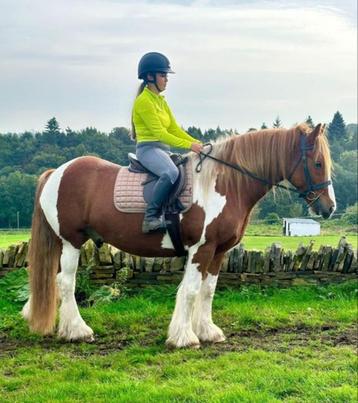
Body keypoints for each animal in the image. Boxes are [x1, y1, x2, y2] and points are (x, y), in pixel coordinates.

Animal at [21, 123, 336, 350]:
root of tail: (57, 172)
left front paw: (207, 331)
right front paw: (184, 337)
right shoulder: (201, 249)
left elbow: (208, 291)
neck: (223, 184)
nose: (329, 207)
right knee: (66, 283)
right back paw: (78, 331)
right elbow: (191, 290)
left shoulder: (218, 251)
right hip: (71, 242)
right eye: (318, 163)